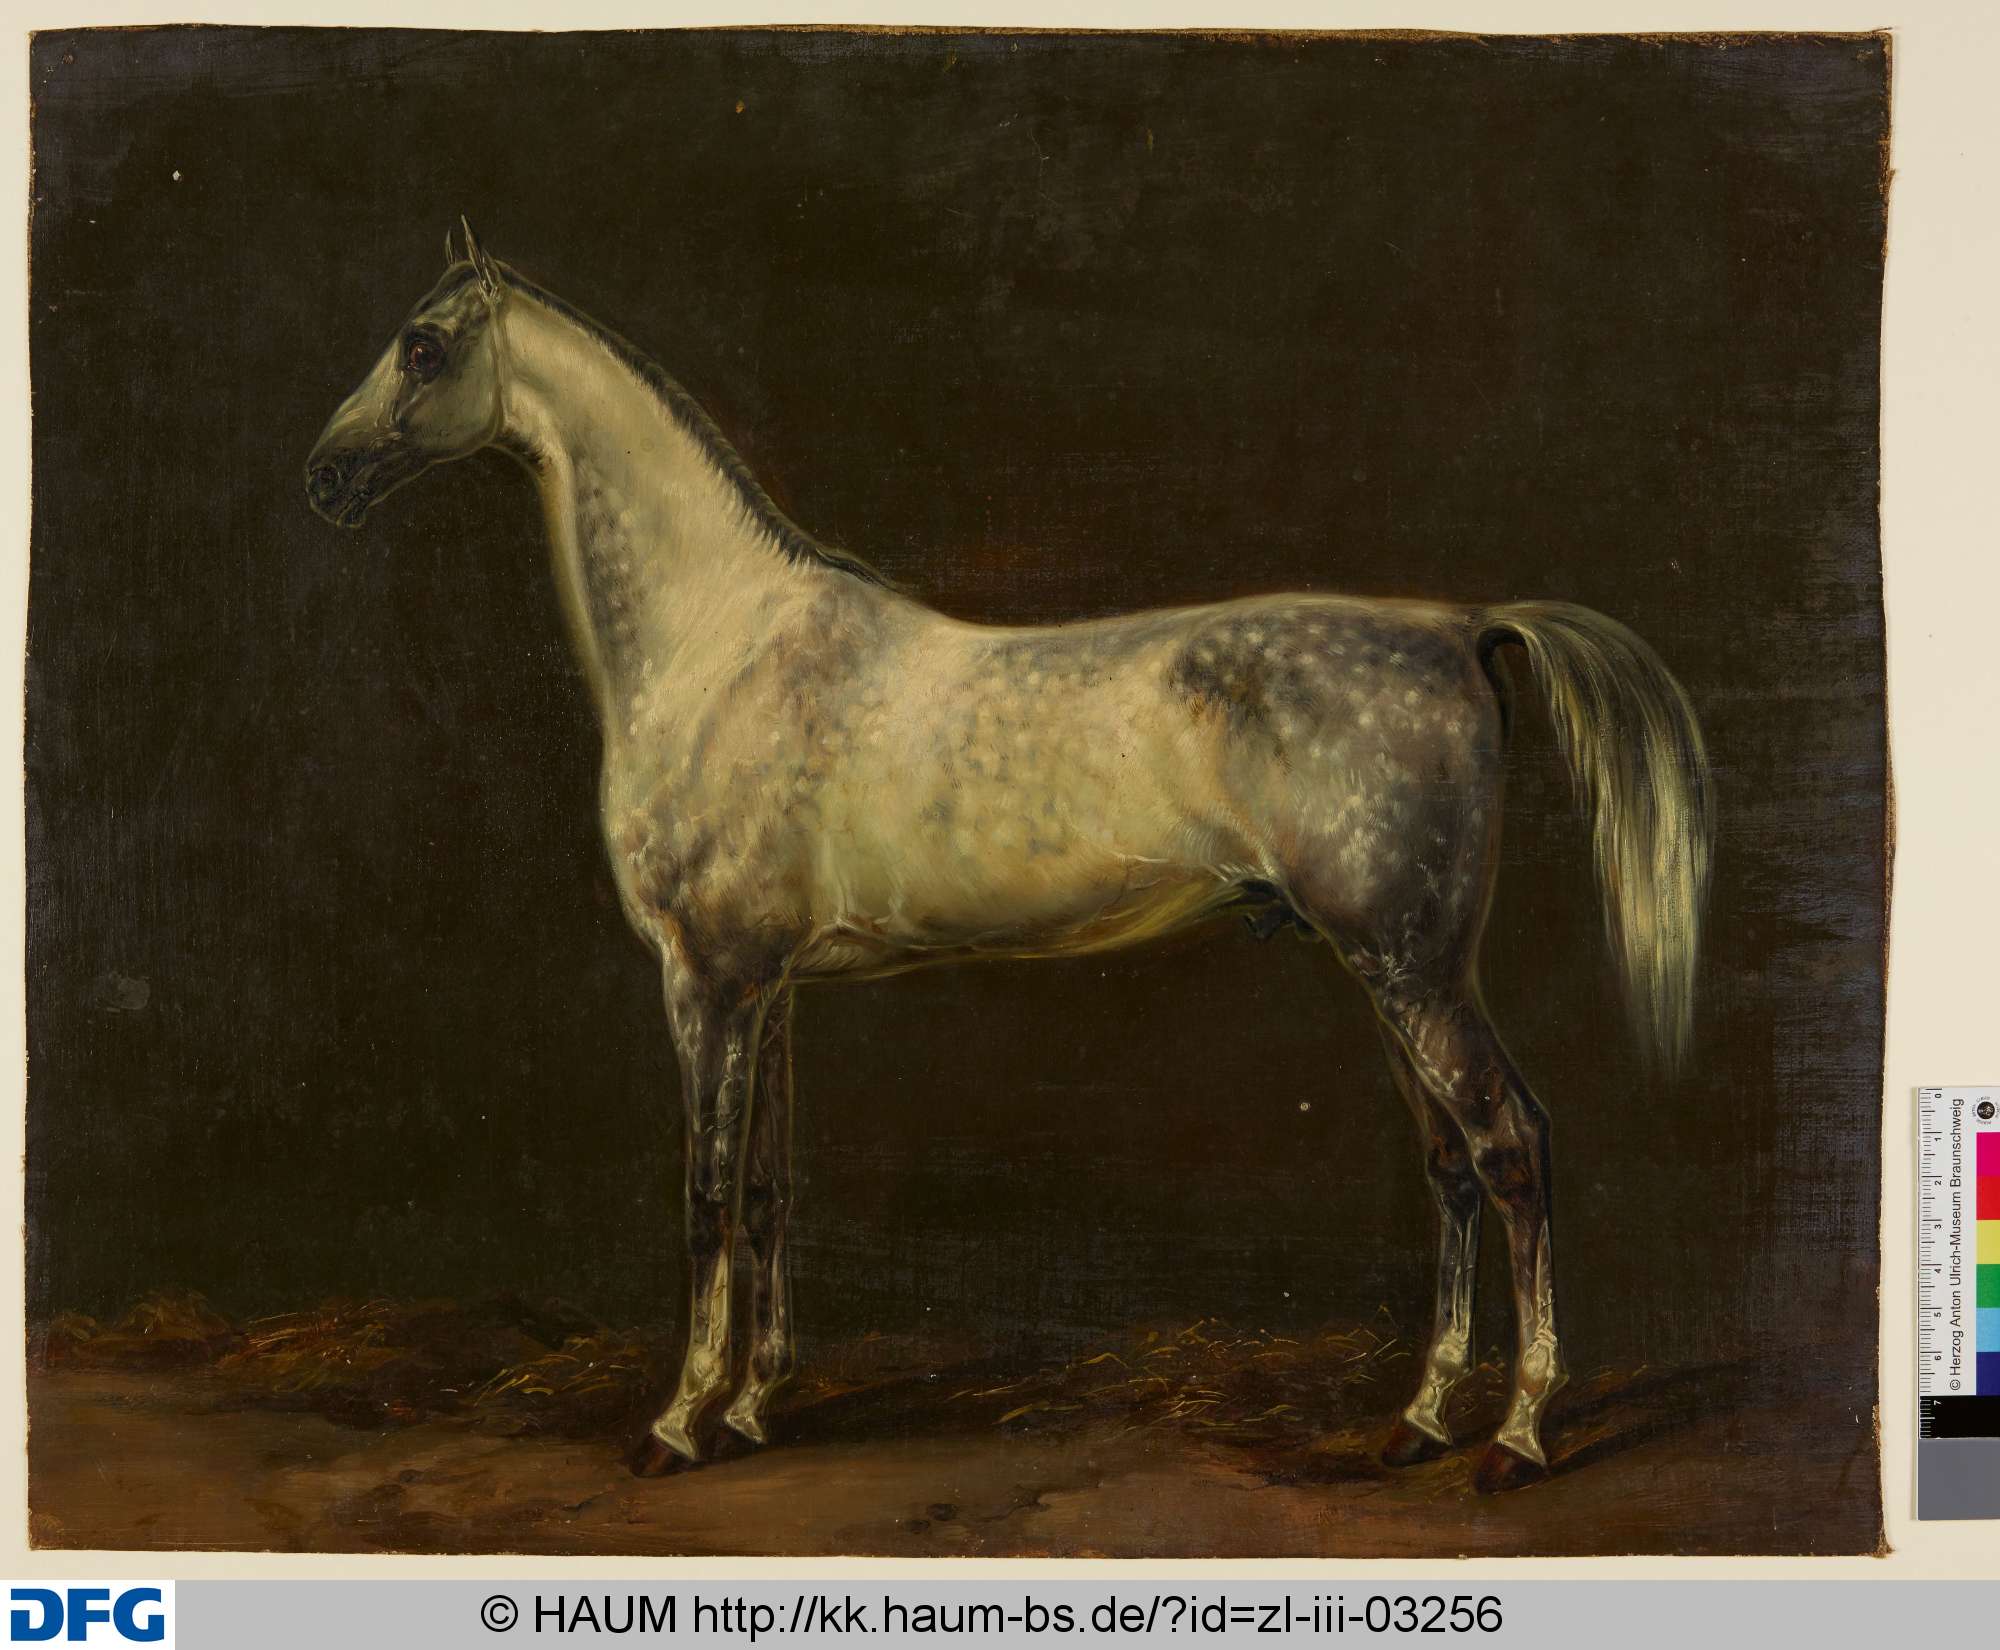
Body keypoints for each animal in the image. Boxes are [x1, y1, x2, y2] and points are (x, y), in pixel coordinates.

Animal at [305, 224, 1712, 1494]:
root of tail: (1463, 626)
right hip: (1390, 972)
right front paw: (754, 1407)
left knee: (1510, 1148)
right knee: (1449, 1170)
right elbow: (764, 1194)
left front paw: (678, 1422)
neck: (722, 644)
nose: (322, 478)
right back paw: (1414, 1423)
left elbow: (703, 1194)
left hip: (1413, 973)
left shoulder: (706, 980)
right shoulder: (772, 990)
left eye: (423, 345)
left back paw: (1516, 1439)